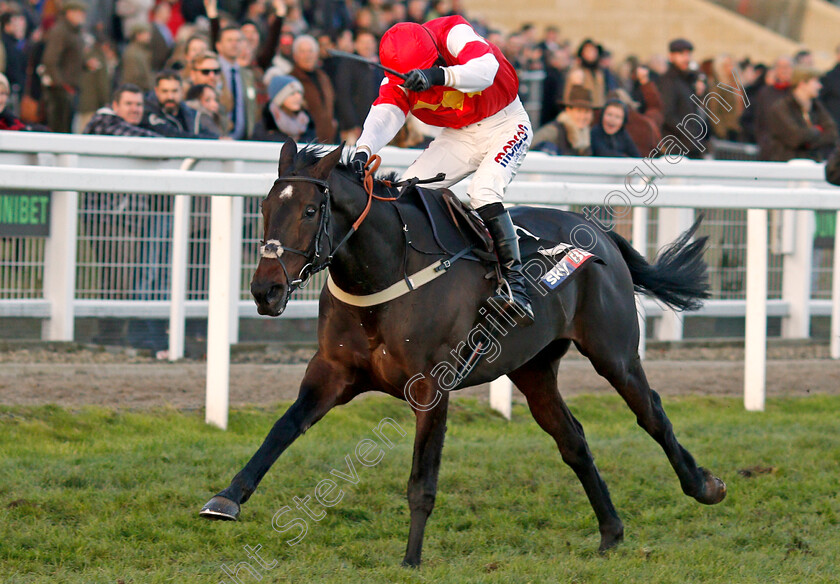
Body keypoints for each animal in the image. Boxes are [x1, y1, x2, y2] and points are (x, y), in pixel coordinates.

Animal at [200, 140, 724, 564]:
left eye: (310, 211)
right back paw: (611, 532)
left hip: (613, 352)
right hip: (533, 368)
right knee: (573, 440)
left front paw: (411, 559)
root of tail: (598, 232)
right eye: (266, 206)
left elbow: (422, 479)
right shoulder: (331, 372)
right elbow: (282, 430)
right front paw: (226, 498)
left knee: (652, 413)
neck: (386, 272)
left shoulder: (432, 387)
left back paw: (703, 486)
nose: (265, 290)